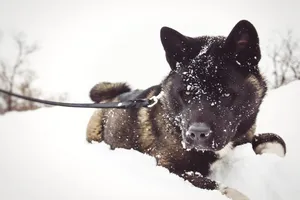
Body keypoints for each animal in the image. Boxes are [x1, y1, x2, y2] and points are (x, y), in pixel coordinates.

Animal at [86, 19, 286, 199]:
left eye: (226, 94)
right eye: (187, 93)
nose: (197, 134)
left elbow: (276, 141)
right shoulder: (168, 167)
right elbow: (219, 187)